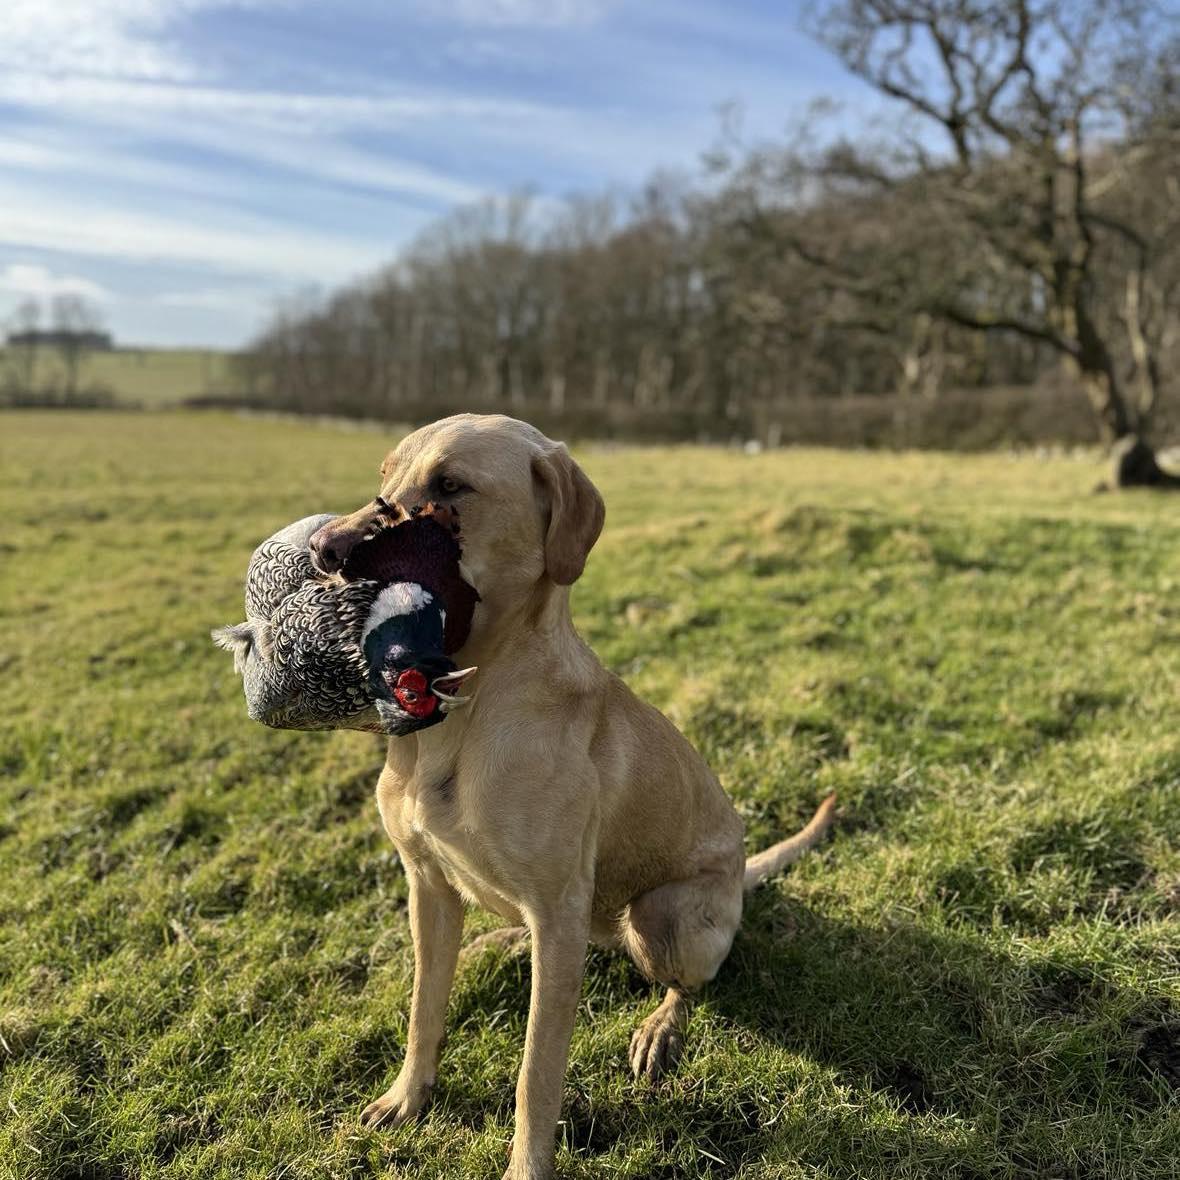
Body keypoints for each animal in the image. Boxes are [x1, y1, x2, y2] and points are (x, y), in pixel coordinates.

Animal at [309, 414, 835, 1180]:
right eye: (384, 478)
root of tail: (741, 875)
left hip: (659, 915)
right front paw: (408, 1096)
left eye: (451, 487)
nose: (323, 549)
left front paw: (527, 1167)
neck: (466, 714)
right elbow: (423, 1010)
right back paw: (501, 940)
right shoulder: (427, 886)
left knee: (690, 982)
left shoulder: (558, 911)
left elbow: (537, 1071)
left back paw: (659, 1028)